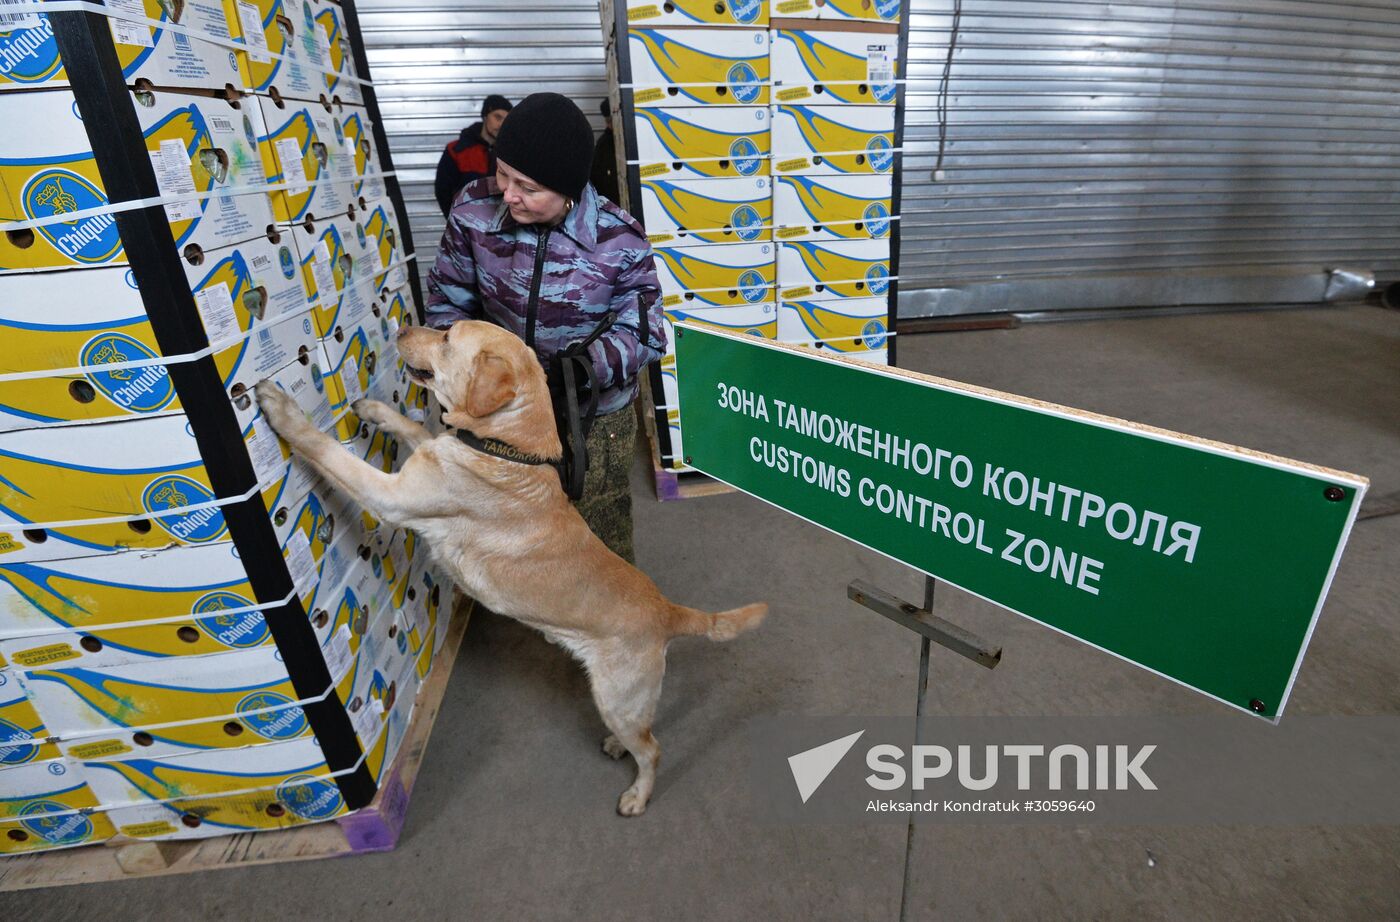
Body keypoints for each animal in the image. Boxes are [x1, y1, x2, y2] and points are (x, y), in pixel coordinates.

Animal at [257, 318, 772, 817]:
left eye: (447, 337)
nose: (403, 328)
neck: (503, 445)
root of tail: (668, 610)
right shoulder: (434, 449)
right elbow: (411, 426)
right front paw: (373, 410)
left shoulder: (392, 496)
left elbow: (327, 450)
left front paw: (283, 412)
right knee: (644, 736)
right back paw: (616, 746)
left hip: (617, 698)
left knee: (653, 749)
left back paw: (638, 795)